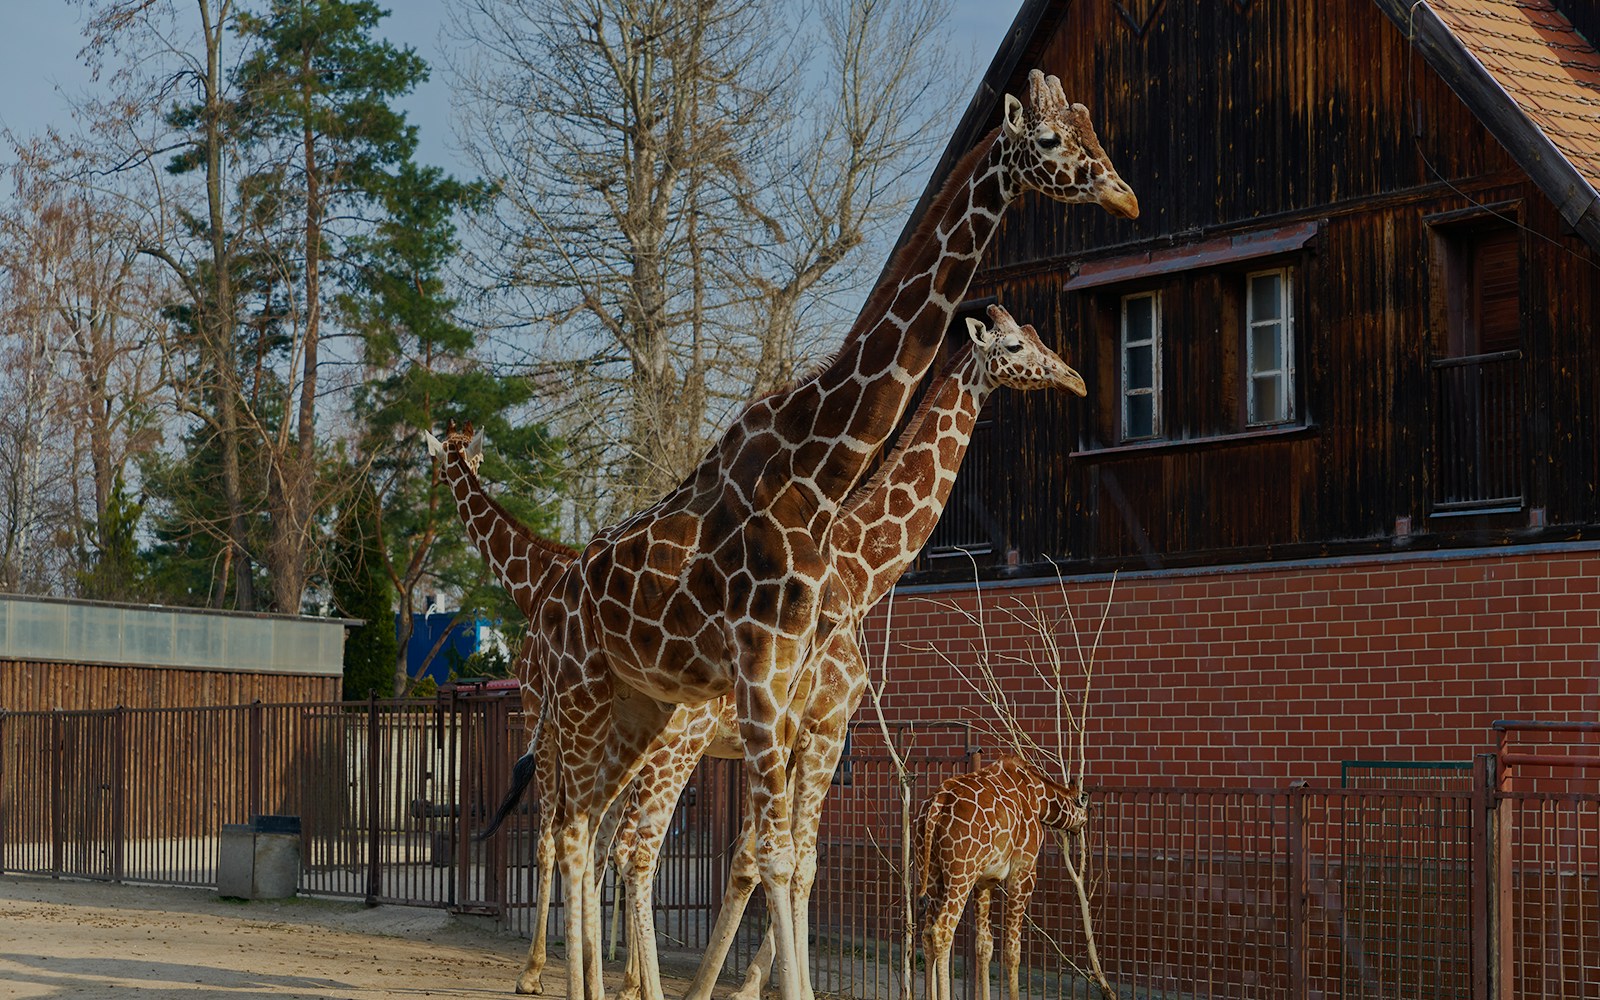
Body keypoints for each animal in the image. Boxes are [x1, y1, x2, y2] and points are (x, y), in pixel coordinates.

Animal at [915, 755, 1090, 1000]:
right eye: (1084, 805)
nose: (1081, 824)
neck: (1037, 796)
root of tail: (936, 806)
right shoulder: (1024, 870)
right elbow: (1012, 949)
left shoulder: (984, 880)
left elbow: (984, 944)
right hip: (961, 873)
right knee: (942, 931)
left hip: (932, 873)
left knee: (927, 933)